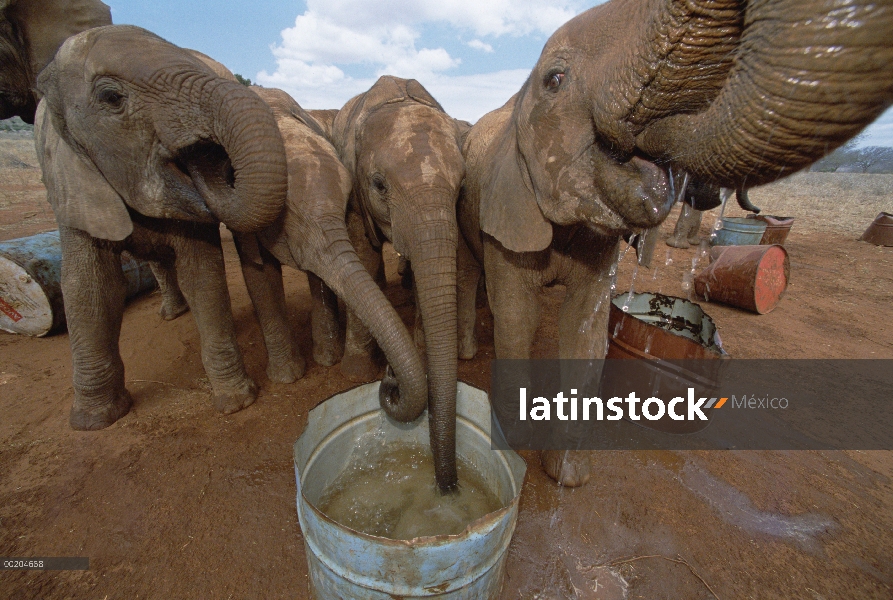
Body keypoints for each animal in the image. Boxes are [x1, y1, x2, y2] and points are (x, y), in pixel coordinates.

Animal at [33, 25, 286, 428]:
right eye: (111, 98)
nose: (207, 163)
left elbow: (203, 274)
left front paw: (236, 402)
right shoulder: (70, 180)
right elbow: (88, 287)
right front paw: (93, 421)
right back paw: (171, 314)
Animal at [314, 75, 466, 490]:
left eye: (462, 187)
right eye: (379, 185)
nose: (390, 380)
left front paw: (422, 350)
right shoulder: (353, 190)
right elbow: (363, 255)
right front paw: (356, 372)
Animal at [460, 0, 892, 482]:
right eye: (555, 80)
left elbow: (586, 328)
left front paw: (568, 476)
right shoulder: (508, 217)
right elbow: (519, 318)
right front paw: (514, 443)